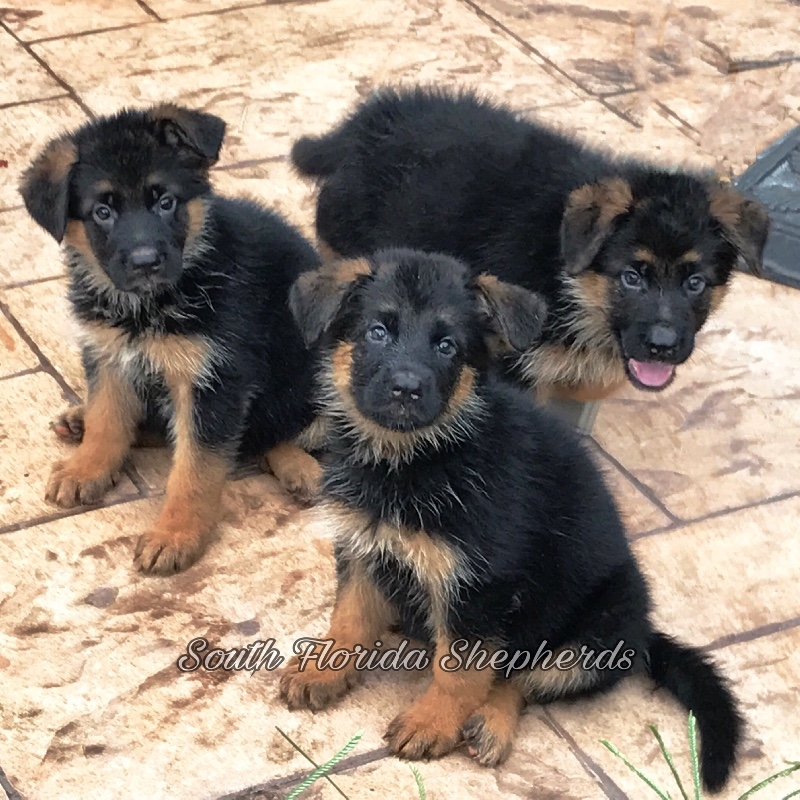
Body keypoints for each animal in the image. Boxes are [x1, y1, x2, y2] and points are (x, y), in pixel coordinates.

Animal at [18, 104, 320, 576]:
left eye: (165, 202)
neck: (148, 307)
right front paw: (88, 467)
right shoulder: (109, 355)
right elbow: (107, 419)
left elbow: (195, 469)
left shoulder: (213, 383)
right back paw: (80, 421)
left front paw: (175, 534)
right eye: (102, 212)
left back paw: (300, 468)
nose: (146, 262)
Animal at [282, 252, 744, 792]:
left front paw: (433, 722)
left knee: (520, 679)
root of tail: (645, 632)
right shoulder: (362, 544)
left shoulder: (480, 585)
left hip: (596, 636)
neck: (418, 457)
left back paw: (490, 724)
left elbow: (460, 668)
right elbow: (350, 616)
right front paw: (325, 670)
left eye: (447, 346)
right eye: (377, 332)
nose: (406, 390)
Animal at [290, 86, 768, 404]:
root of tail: (367, 122)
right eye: (632, 277)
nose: (663, 347)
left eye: (696, 283)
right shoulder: (512, 366)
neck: (565, 273)